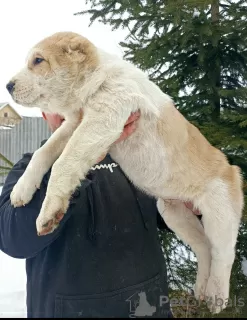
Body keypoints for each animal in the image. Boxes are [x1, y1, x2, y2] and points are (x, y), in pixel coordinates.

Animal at [6, 31, 245, 312]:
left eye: (38, 60)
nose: (8, 86)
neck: (95, 80)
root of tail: (232, 168)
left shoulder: (102, 120)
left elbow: (64, 162)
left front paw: (48, 213)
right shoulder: (75, 124)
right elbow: (43, 153)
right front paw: (22, 189)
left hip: (220, 215)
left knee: (223, 254)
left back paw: (216, 296)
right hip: (174, 213)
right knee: (205, 248)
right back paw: (200, 290)